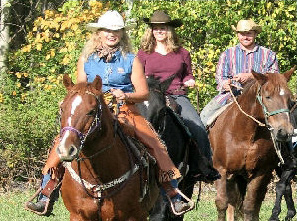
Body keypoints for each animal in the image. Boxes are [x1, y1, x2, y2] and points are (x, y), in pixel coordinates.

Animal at [55, 74, 158, 221]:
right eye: (62, 108)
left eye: (91, 111)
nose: (65, 149)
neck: (99, 180)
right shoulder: (77, 215)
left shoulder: (134, 216)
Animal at [207, 68, 294, 221]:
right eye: (268, 96)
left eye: (290, 99)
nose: (284, 132)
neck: (245, 135)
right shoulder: (221, 169)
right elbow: (222, 204)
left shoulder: (260, 173)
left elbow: (249, 206)